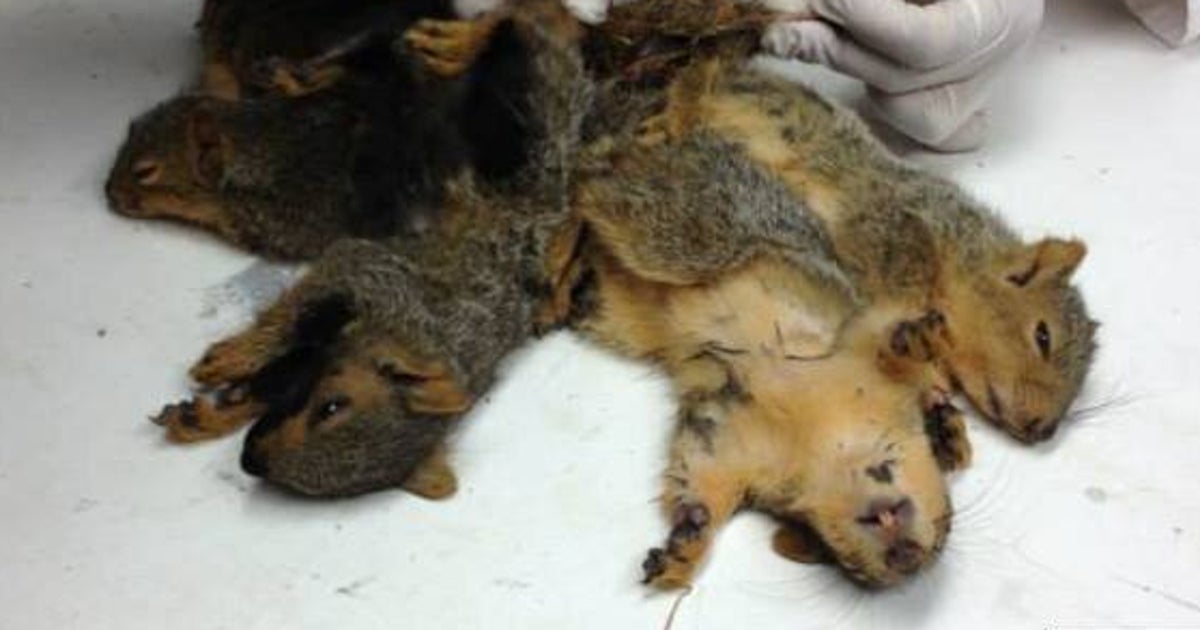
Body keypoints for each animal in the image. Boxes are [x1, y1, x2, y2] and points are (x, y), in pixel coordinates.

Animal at [150, 1, 593, 497]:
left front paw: (208, 414)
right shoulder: (369, 271)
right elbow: (289, 317)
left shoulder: (324, 341)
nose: (250, 459)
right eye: (332, 406)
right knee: (501, 28)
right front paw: (235, 357)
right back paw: (444, 46)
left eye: (326, 491)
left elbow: (275, 376)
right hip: (518, 102)